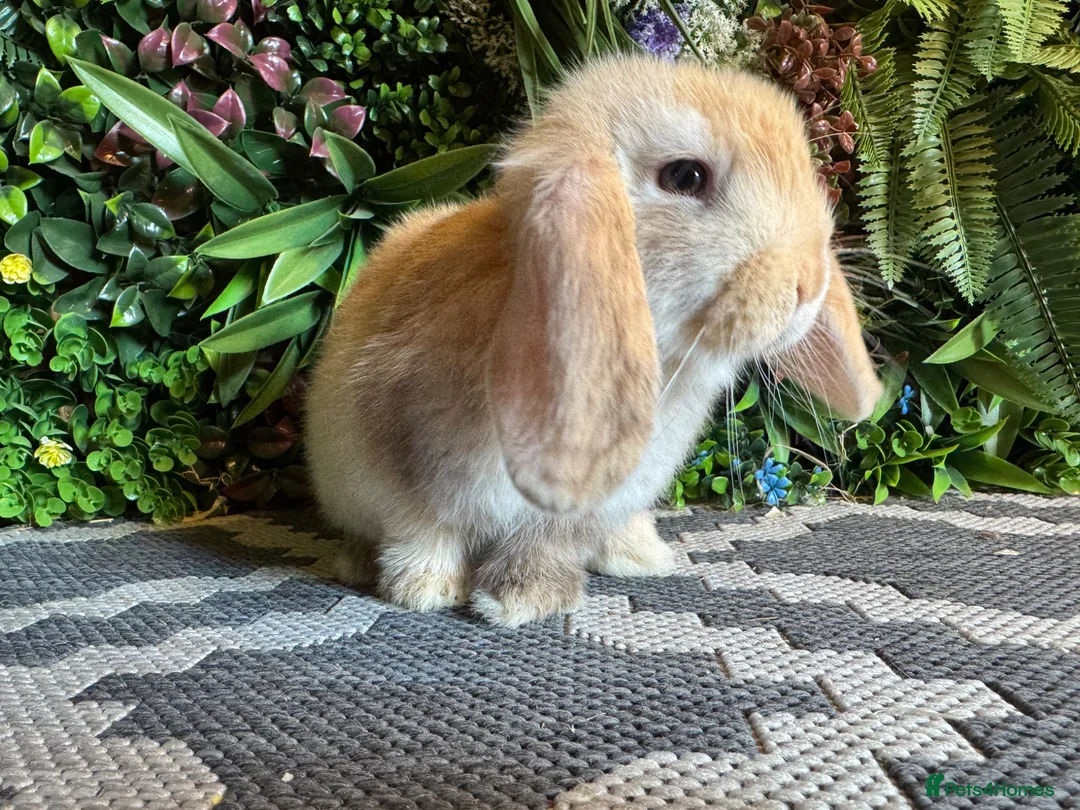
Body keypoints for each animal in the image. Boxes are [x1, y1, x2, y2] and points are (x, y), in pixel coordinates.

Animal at [305, 53, 883, 627]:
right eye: (685, 175)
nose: (808, 283)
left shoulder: (581, 508)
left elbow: (546, 542)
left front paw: (524, 598)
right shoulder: (404, 455)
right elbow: (423, 527)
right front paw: (423, 589)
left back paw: (640, 554)